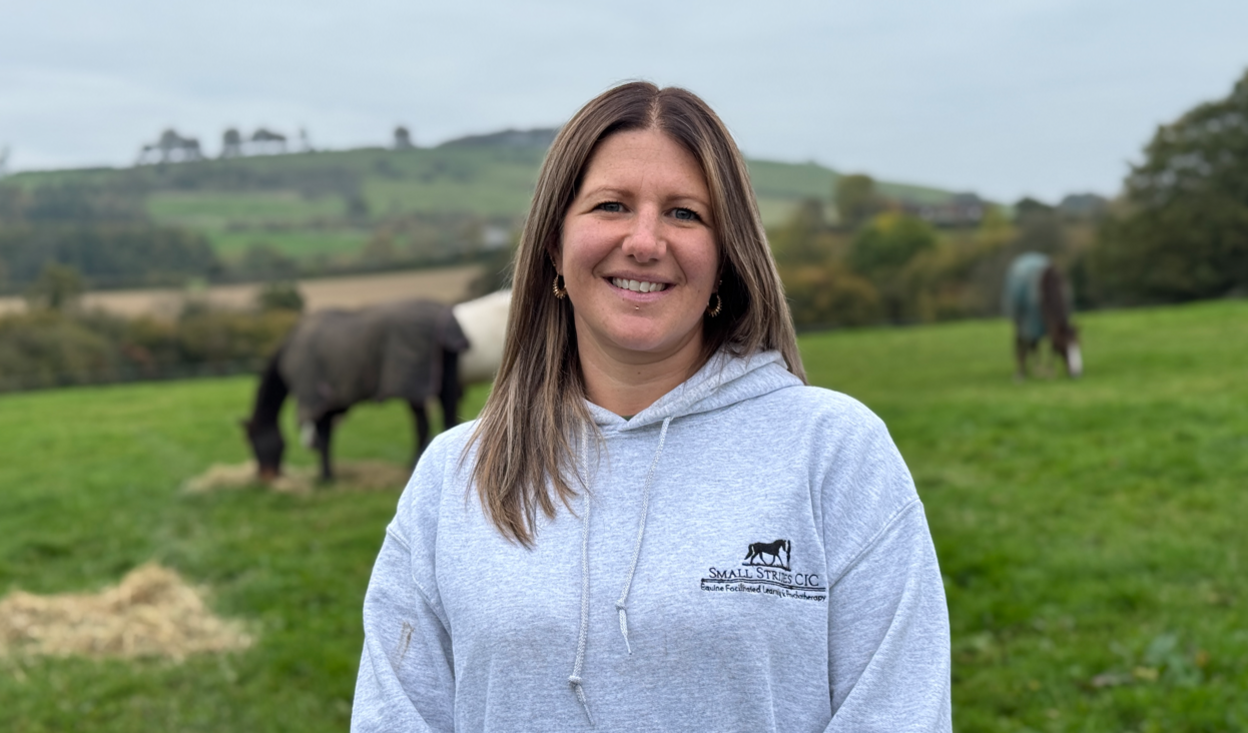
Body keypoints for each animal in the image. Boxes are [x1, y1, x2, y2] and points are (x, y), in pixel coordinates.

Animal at [1003, 250, 1083, 379]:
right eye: (1063, 346)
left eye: (1078, 343)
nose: (1076, 372)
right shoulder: (1033, 323)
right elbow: (1032, 345)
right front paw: (1043, 371)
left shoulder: (1052, 327)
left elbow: (1051, 346)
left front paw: (1050, 370)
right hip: (1020, 322)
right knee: (1022, 342)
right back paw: (1021, 373)